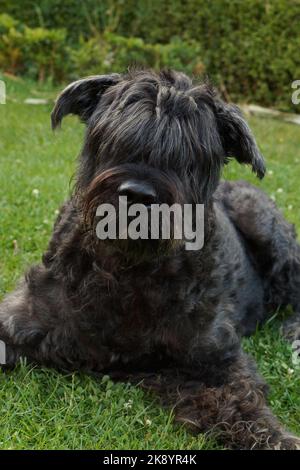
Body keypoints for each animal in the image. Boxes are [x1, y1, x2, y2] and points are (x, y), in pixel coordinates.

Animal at [0, 69, 300, 448]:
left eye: (189, 157)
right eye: (114, 139)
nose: (139, 195)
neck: (128, 271)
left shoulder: (214, 358)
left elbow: (245, 405)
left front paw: (277, 437)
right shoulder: (24, 318)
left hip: (266, 231)